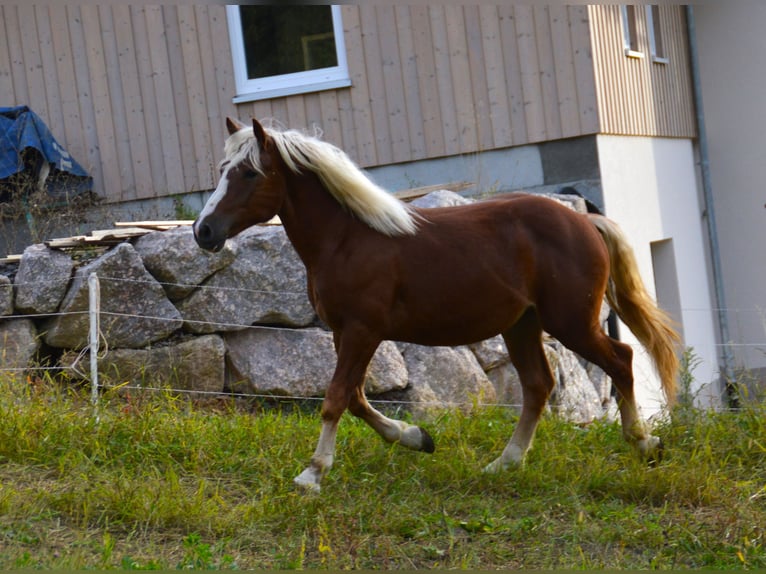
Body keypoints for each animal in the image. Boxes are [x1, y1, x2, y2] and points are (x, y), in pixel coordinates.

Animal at [195, 118, 680, 496]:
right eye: (221, 170)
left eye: (249, 173)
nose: (203, 231)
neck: (347, 239)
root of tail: (586, 220)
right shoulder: (343, 332)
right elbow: (355, 398)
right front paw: (417, 438)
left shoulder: (362, 331)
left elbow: (335, 399)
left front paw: (312, 474)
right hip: (522, 324)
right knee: (539, 385)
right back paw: (504, 463)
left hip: (571, 322)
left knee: (621, 359)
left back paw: (644, 444)